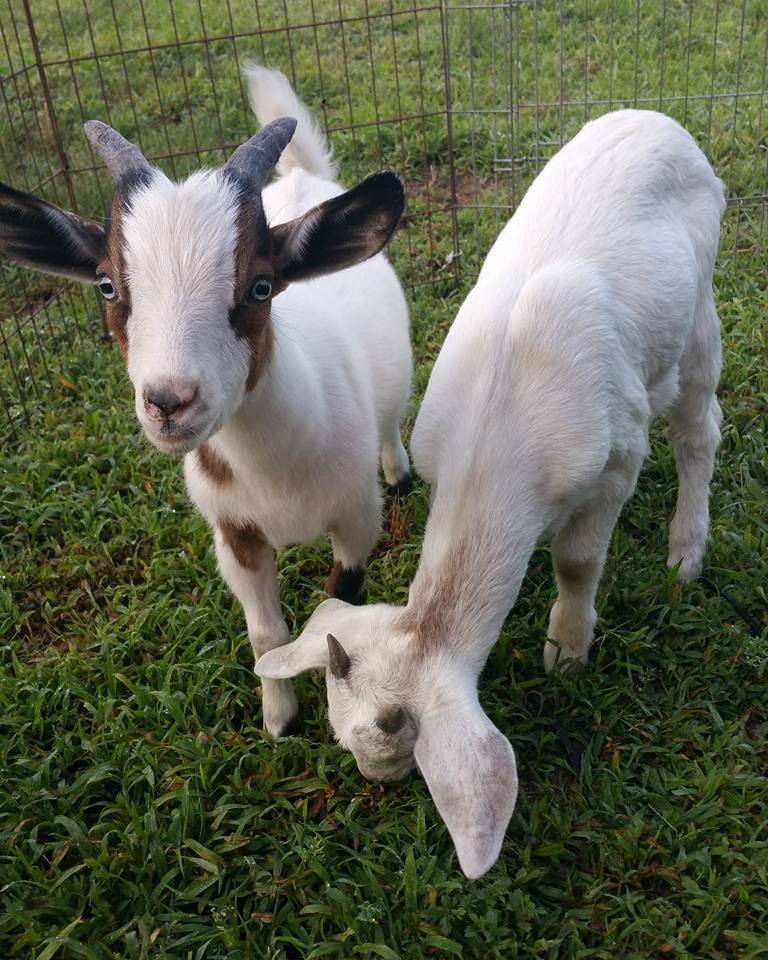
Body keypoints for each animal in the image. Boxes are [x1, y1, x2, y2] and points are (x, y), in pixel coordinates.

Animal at [0, 65, 414, 736]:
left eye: (261, 286)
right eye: (108, 286)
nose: (169, 402)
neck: (273, 473)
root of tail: (301, 178)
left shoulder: (356, 516)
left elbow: (338, 602)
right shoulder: (233, 532)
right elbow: (266, 633)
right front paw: (280, 721)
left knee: (392, 419)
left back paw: (400, 470)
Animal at [258, 110, 728, 876]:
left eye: (401, 742)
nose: (376, 782)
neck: (497, 444)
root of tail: (657, 119)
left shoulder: (616, 460)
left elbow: (578, 562)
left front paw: (567, 649)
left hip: (699, 313)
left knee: (698, 428)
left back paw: (686, 552)